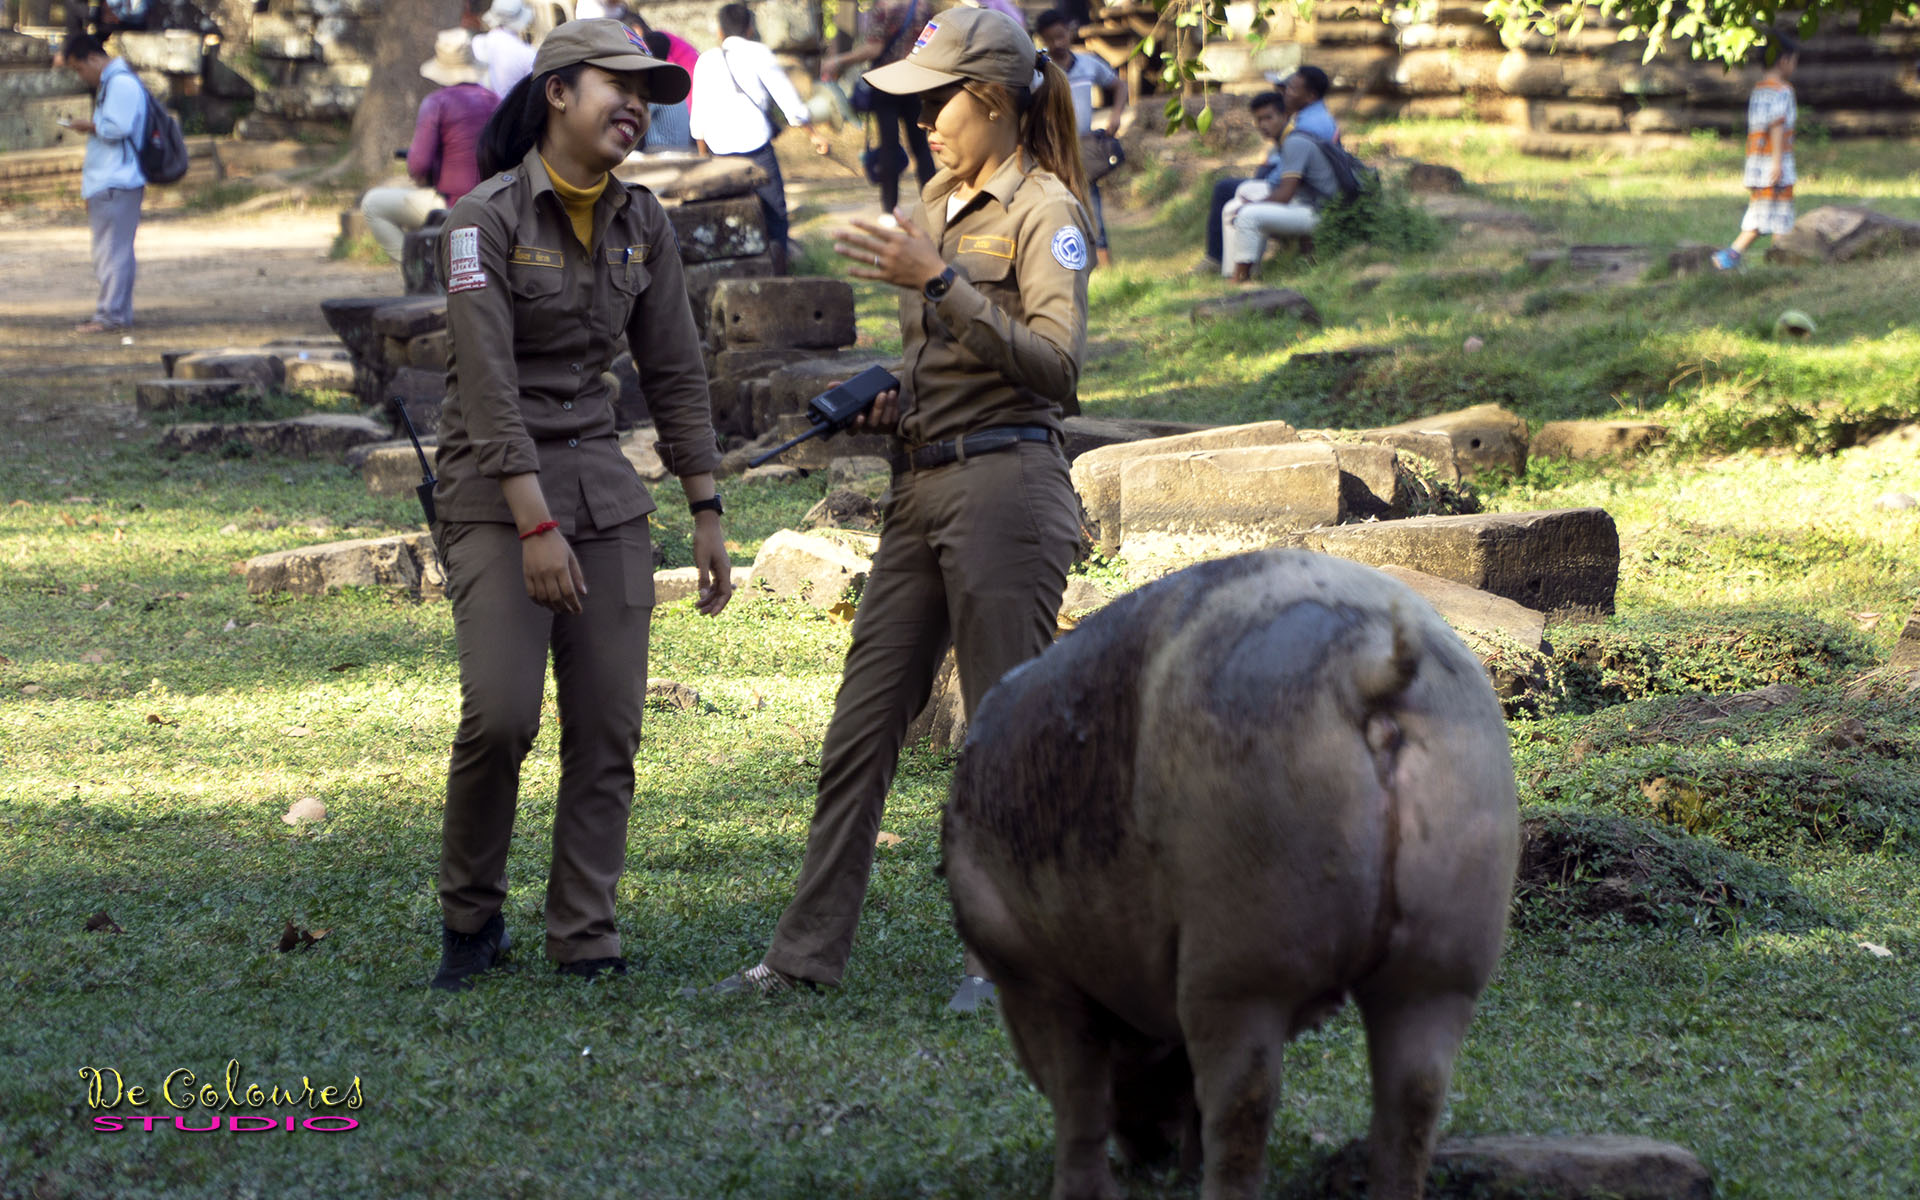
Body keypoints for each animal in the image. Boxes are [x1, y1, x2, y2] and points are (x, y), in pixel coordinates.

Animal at [940, 549, 1512, 1190]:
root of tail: (1370, 664)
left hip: (1243, 942)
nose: (1150, 1158)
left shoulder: (1034, 970)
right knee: (1416, 1096)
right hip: (1450, 938)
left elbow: (1078, 1094)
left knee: (1242, 1098)